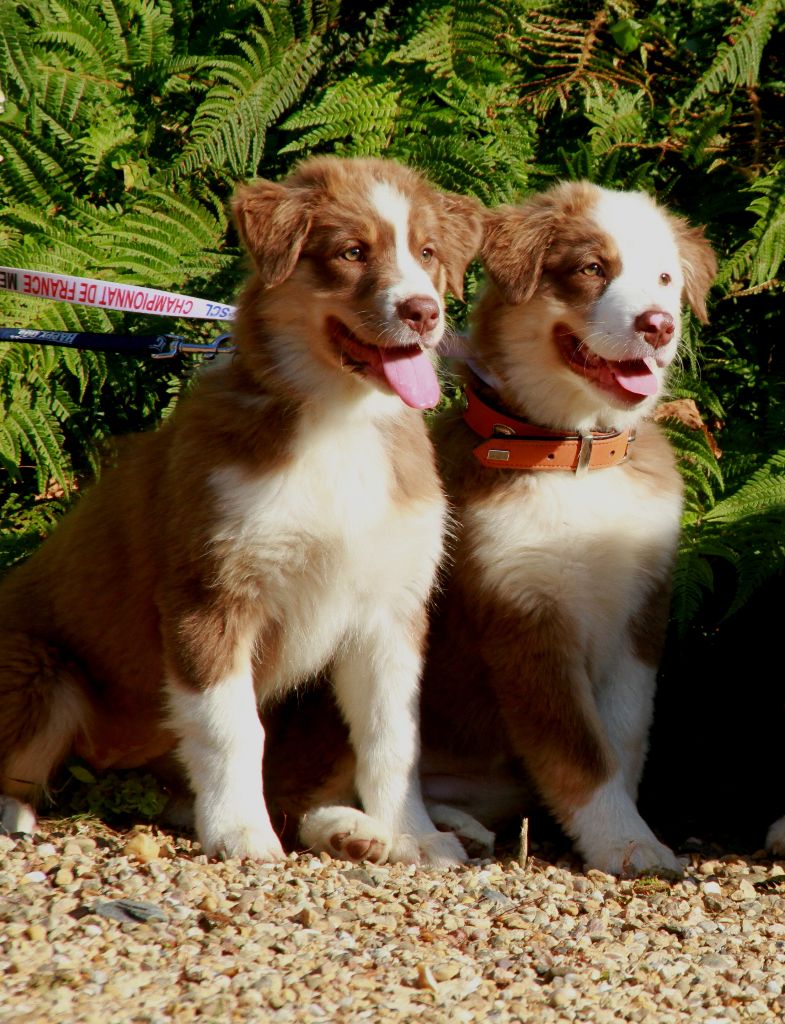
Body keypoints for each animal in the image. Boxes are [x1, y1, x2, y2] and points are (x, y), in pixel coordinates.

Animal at [0, 155, 483, 868]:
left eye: (427, 253)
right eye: (351, 253)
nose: (424, 311)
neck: (340, 421)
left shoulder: (390, 608)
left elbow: (393, 738)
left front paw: (414, 835)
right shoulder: (209, 595)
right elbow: (231, 726)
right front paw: (241, 834)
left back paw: (364, 831)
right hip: (42, 667)